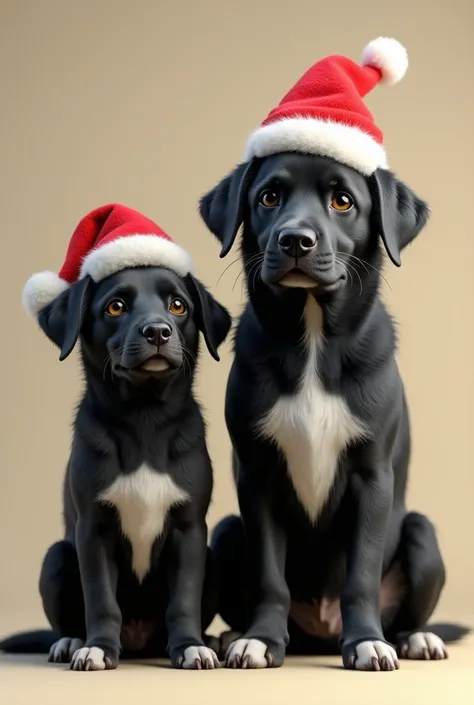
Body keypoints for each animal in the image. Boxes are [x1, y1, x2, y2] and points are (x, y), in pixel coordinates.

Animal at [0, 266, 230, 672]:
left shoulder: (189, 530)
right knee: (69, 612)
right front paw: (99, 649)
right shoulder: (93, 530)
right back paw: (71, 642)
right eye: (115, 306)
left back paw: (208, 639)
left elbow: (184, 599)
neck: (144, 419)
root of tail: (139, 642)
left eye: (178, 305)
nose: (157, 332)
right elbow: (101, 600)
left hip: (213, 559)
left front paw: (190, 646)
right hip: (57, 558)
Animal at [198, 153, 462, 672]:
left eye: (343, 201)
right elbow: (270, 575)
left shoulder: (371, 477)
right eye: (269, 197)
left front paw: (366, 642)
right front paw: (260, 640)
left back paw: (415, 638)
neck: (314, 341)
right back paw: (234, 634)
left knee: (407, 607)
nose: (295, 240)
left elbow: (360, 576)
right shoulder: (257, 477)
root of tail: (319, 631)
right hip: (227, 531)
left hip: (422, 536)